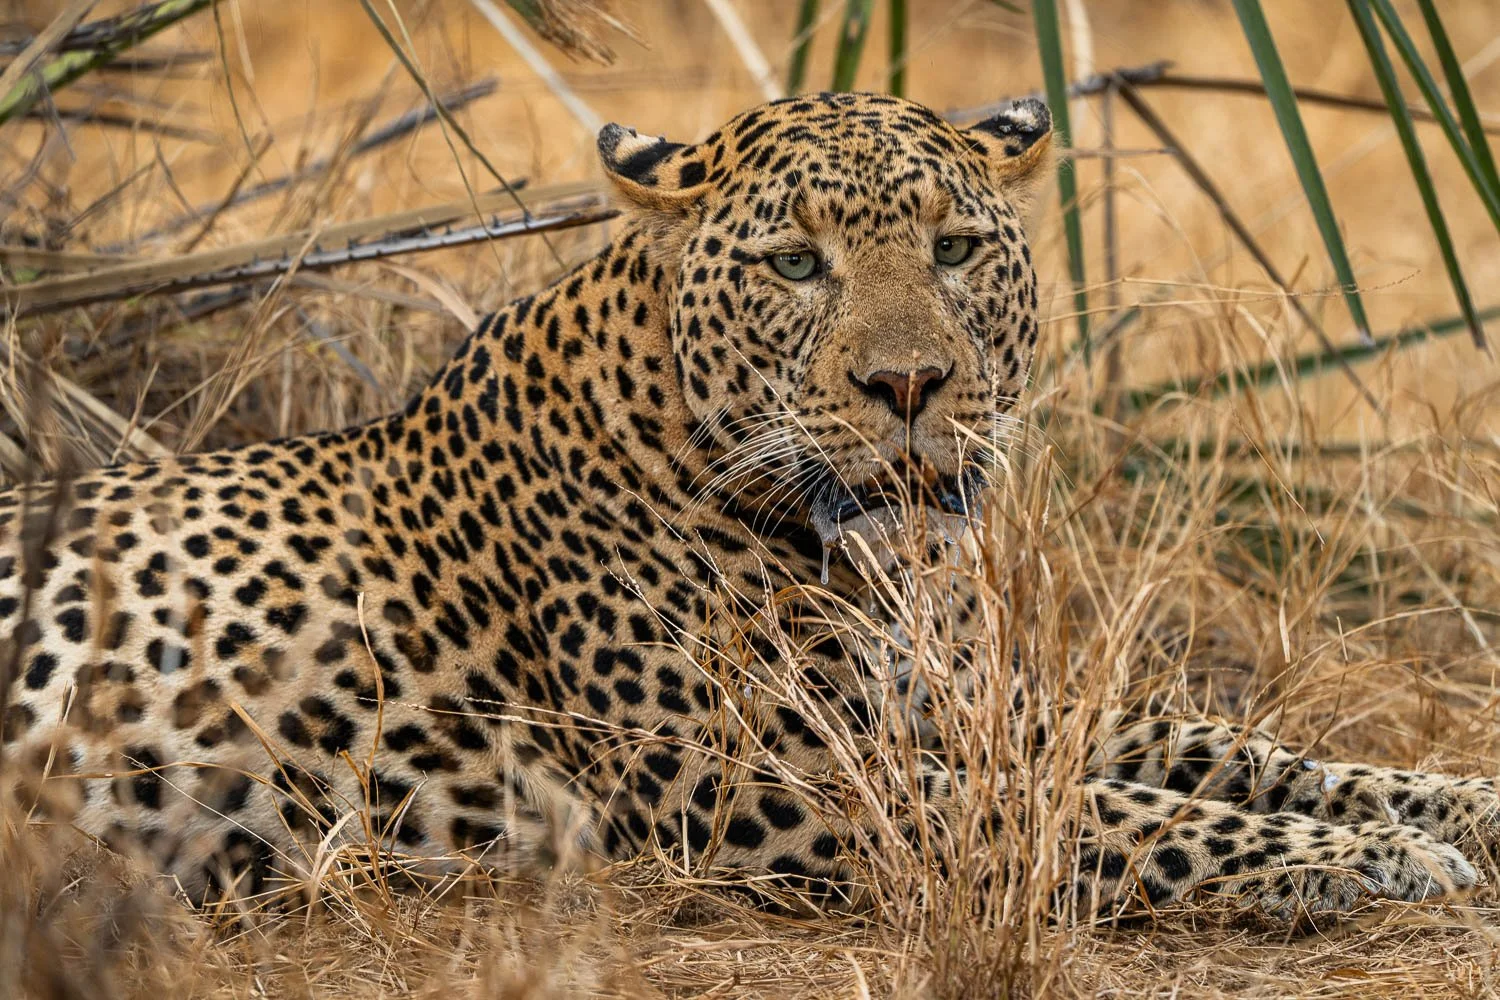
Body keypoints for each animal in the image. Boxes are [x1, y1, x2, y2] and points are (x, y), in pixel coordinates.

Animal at [0, 91, 1495, 921]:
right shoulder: (765, 778)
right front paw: (1378, 859)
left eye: (957, 247)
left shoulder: (978, 700)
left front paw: (1449, 806)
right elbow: (1101, 811)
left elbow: (1231, 750)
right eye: (795, 264)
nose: (909, 384)